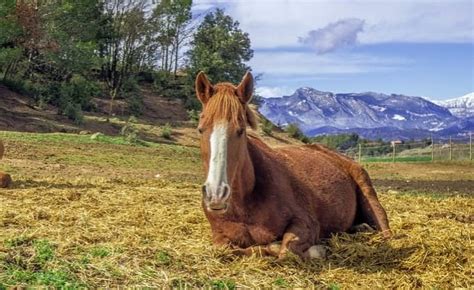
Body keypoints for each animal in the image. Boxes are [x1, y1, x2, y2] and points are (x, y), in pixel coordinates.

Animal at [194, 71, 390, 260]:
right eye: (200, 129)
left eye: (241, 130)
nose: (216, 194)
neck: (245, 204)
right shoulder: (219, 236)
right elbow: (227, 250)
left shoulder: (306, 222)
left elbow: (287, 250)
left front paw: (316, 250)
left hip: (370, 197)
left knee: (384, 230)